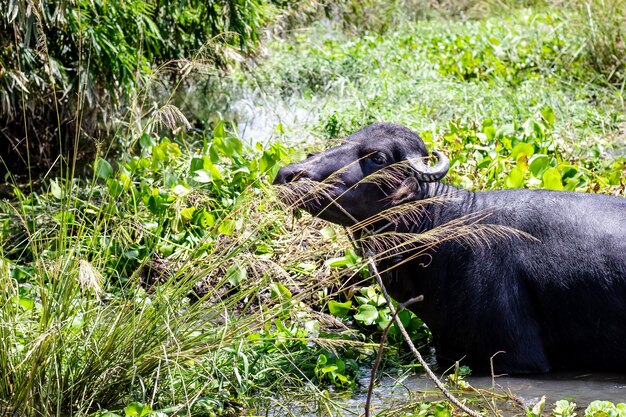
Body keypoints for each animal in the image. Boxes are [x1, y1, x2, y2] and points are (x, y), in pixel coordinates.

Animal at [274, 122, 626, 372]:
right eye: (344, 141)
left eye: (377, 158)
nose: (288, 174)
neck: (441, 228)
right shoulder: (447, 350)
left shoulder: (515, 356)